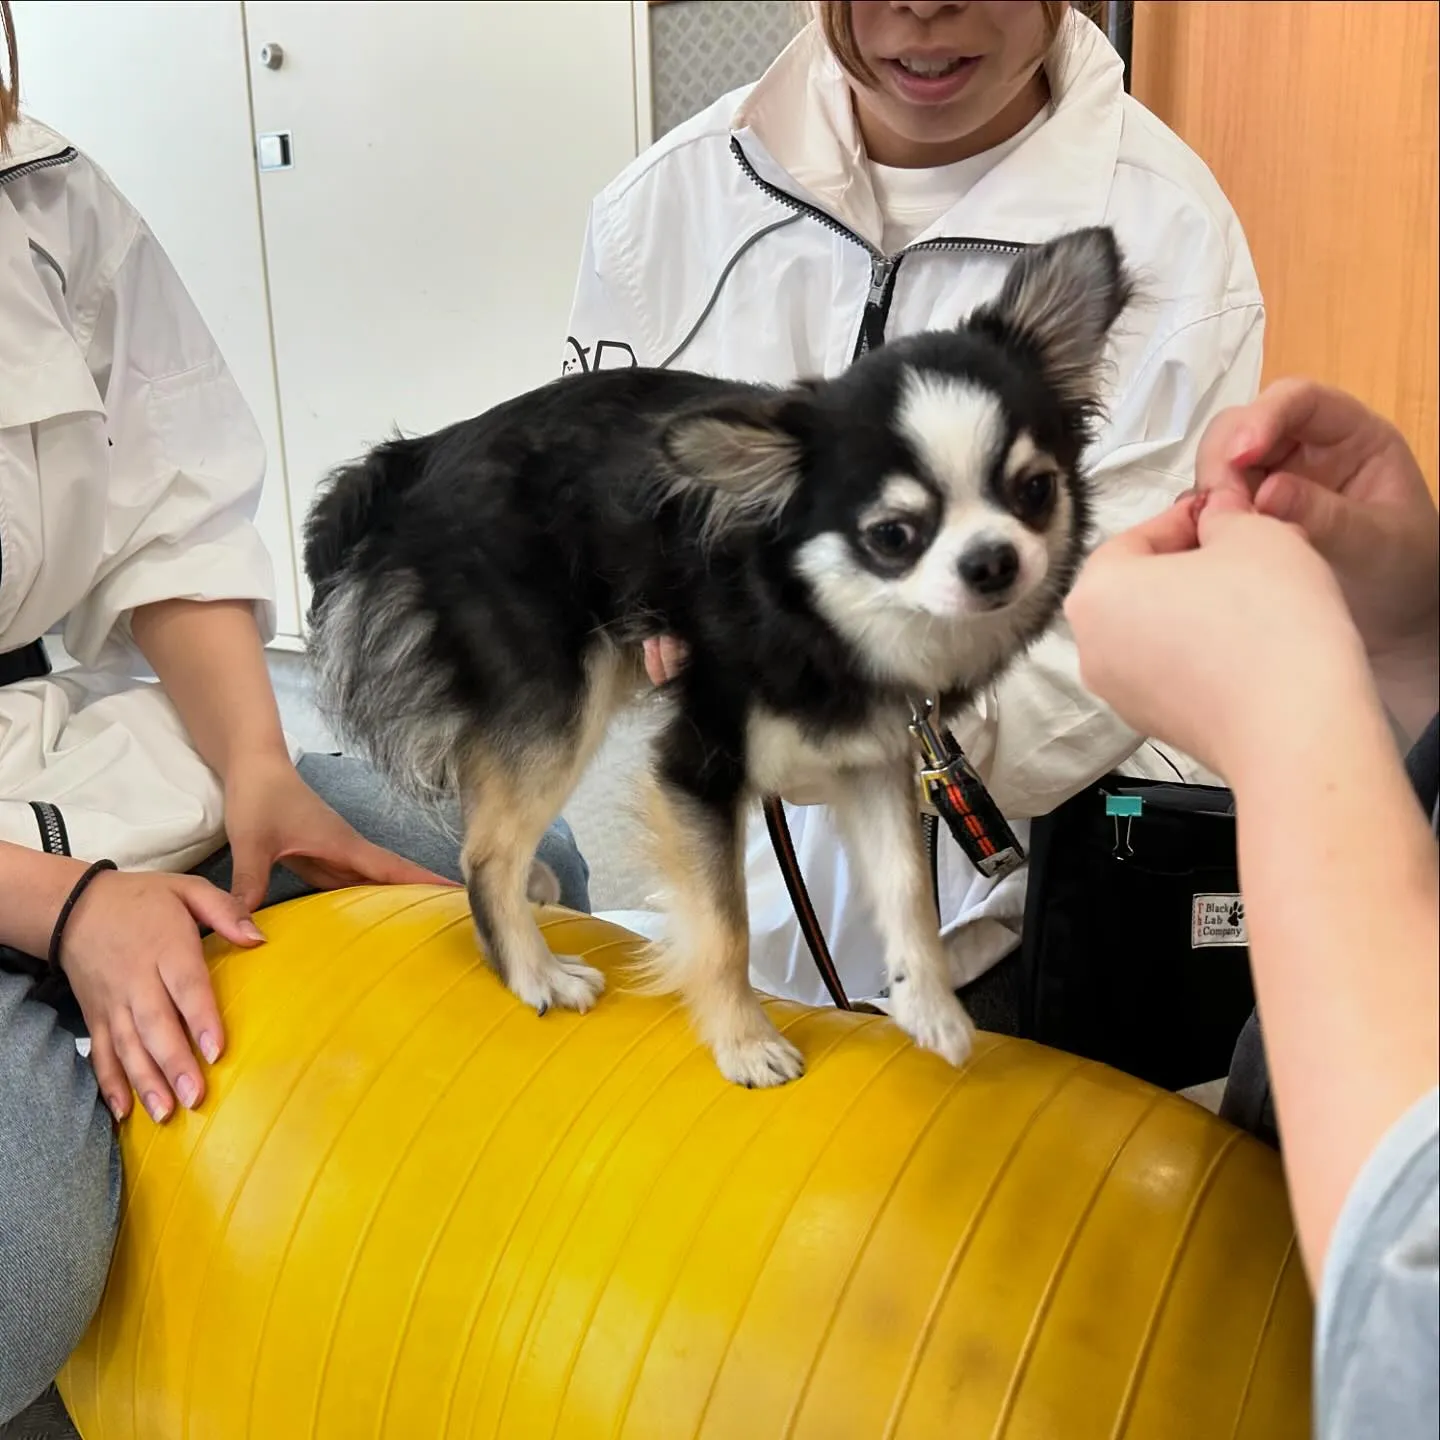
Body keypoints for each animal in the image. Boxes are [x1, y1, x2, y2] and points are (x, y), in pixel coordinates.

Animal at [306, 224, 1134, 1082]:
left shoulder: (874, 756)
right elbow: (724, 921)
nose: (993, 561)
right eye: (893, 535)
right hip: (562, 695)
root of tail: (421, 453)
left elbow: (905, 885)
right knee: (484, 851)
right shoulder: (698, 764)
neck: (825, 614)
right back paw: (534, 972)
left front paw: (927, 1006)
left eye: (1035, 489)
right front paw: (745, 1041)